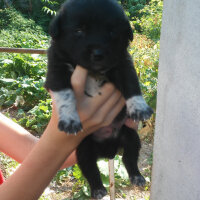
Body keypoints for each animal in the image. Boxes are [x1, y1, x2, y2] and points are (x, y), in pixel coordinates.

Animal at [45, 0, 152, 198]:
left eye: (112, 32)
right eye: (79, 30)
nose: (98, 54)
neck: (92, 70)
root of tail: (107, 152)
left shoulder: (123, 64)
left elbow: (132, 85)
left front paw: (139, 108)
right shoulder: (56, 71)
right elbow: (65, 94)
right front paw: (70, 119)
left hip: (129, 136)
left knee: (129, 158)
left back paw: (137, 176)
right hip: (84, 149)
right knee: (91, 170)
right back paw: (98, 189)